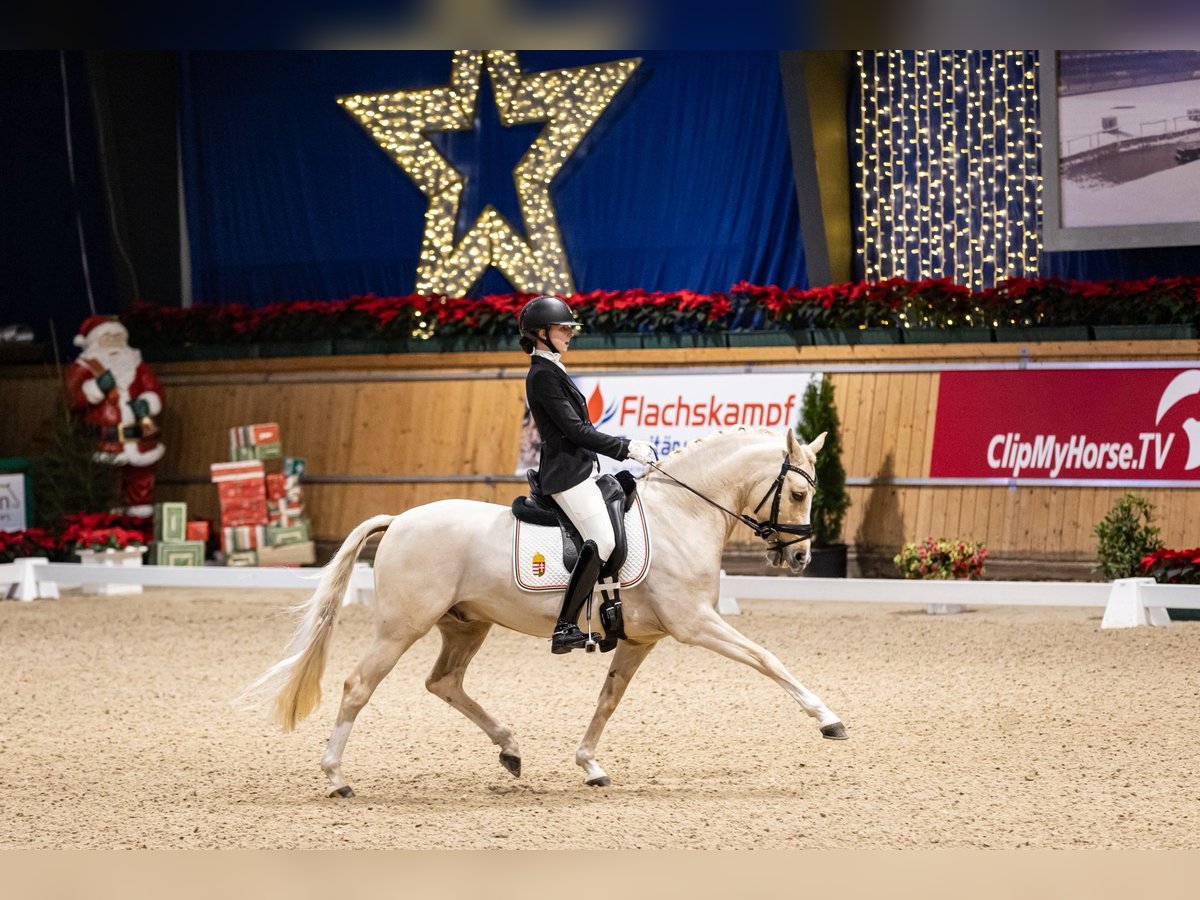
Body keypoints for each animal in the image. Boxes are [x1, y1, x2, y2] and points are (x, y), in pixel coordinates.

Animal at [240, 426, 848, 797]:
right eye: (798, 493)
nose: (800, 558)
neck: (682, 512)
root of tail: (401, 519)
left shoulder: (639, 639)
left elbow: (608, 700)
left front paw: (589, 764)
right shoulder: (695, 623)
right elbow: (767, 659)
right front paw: (828, 719)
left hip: (467, 625)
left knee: (444, 682)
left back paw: (509, 749)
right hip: (400, 628)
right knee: (357, 686)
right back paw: (336, 777)